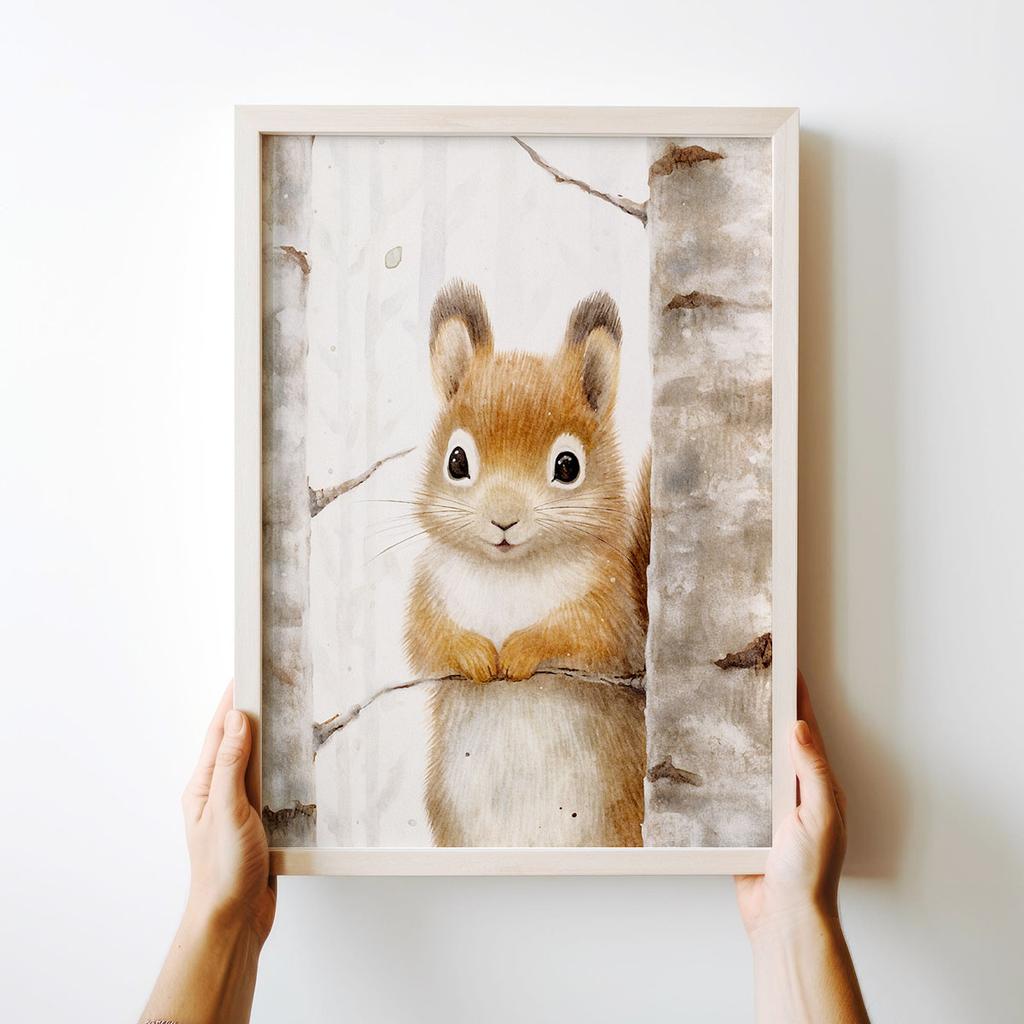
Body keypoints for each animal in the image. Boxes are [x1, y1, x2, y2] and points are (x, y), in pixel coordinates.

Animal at [404, 281, 650, 847]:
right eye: (456, 461)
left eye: (568, 465)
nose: (504, 520)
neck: (509, 573)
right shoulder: (430, 590)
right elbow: (427, 640)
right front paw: (475, 653)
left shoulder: (613, 610)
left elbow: (584, 636)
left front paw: (520, 650)